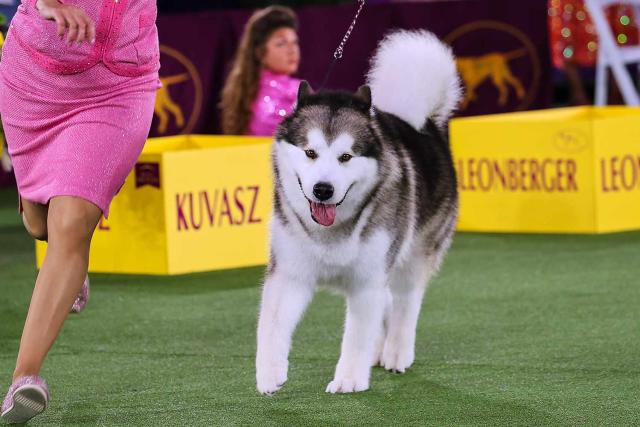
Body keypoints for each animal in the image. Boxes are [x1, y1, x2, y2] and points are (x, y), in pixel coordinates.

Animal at [255, 31, 460, 396]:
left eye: (346, 157)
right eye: (310, 152)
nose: (323, 189)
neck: (330, 231)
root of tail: (427, 128)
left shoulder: (368, 280)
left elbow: (357, 337)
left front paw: (349, 379)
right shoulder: (290, 273)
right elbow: (272, 325)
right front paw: (269, 372)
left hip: (414, 254)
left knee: (405, 302)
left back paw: (396, 352)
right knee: (388, 303)